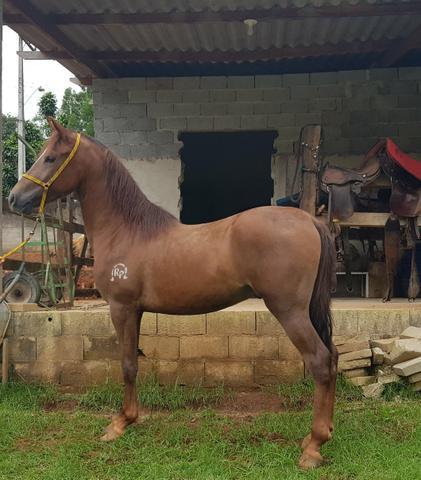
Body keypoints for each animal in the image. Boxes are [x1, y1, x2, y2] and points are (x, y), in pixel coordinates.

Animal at [9, 119, 338, 468]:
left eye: (50, 157)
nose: (14, 198)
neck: (127, 230)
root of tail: (310, 221)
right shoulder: (136, 310)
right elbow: (134, 362)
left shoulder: (121, 308)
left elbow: (127, 364)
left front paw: (120, 423)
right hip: (306, 310)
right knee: (332, 358)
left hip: (289, 311)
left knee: (320, 361)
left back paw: (313, 446)